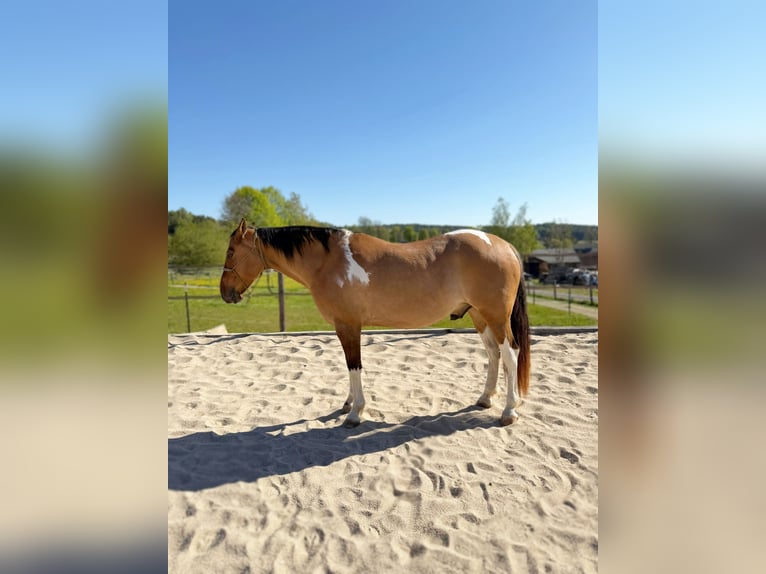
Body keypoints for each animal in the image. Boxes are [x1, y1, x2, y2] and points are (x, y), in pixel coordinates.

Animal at [220, 218, 530, 428]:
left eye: (231, 252)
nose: (226, 293)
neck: (327, 262)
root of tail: (504, 245)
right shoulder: (343, 326)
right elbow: (349, 366)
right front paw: (347, 404)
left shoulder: (348, 325)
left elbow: (354, 365)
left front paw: (355, 412)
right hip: (480, 316)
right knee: (493, 354)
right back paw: (485, 398)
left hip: (496, 317)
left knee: (510, 355)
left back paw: (509, 411)